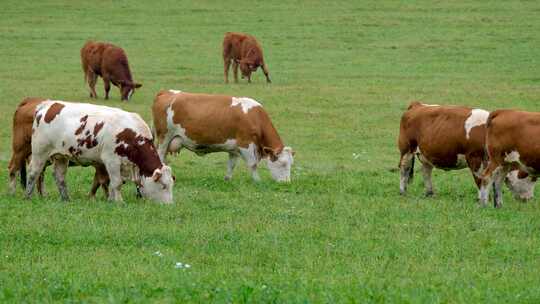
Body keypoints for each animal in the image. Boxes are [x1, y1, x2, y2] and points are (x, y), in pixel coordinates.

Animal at [26, 101, 173, 203]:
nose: (169, 205)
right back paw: (28, 196)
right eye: (163, 185)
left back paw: (66, 199)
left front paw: (111, 200)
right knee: (33, 173)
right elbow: (117, 183)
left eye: (171, 184)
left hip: (61, 156)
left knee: (60, 177)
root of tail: (48, 105)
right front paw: (119, 202)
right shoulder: (111, 160)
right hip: (40, 152)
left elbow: (113, 183)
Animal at [152, 89, 296, 182]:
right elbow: (253, 164)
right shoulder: (245, 144)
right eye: (283, 163)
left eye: (291, 163)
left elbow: (231, 165)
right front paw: (258, 181)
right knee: (160, 155)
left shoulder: (234, 148)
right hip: (164, 137)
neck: (255, 117)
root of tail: (166, 92)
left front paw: (227, 179)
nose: (287, 182)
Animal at [396, 101, 532, 200]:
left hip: (426, 154)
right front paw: (481, 197)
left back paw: (430, 193)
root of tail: (418, 105)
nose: (529, 198)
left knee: (426, 171)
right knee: (404, 168)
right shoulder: (474, 157)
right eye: (528, 176)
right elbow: (479, 179)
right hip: (407, 149)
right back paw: (402, 191)